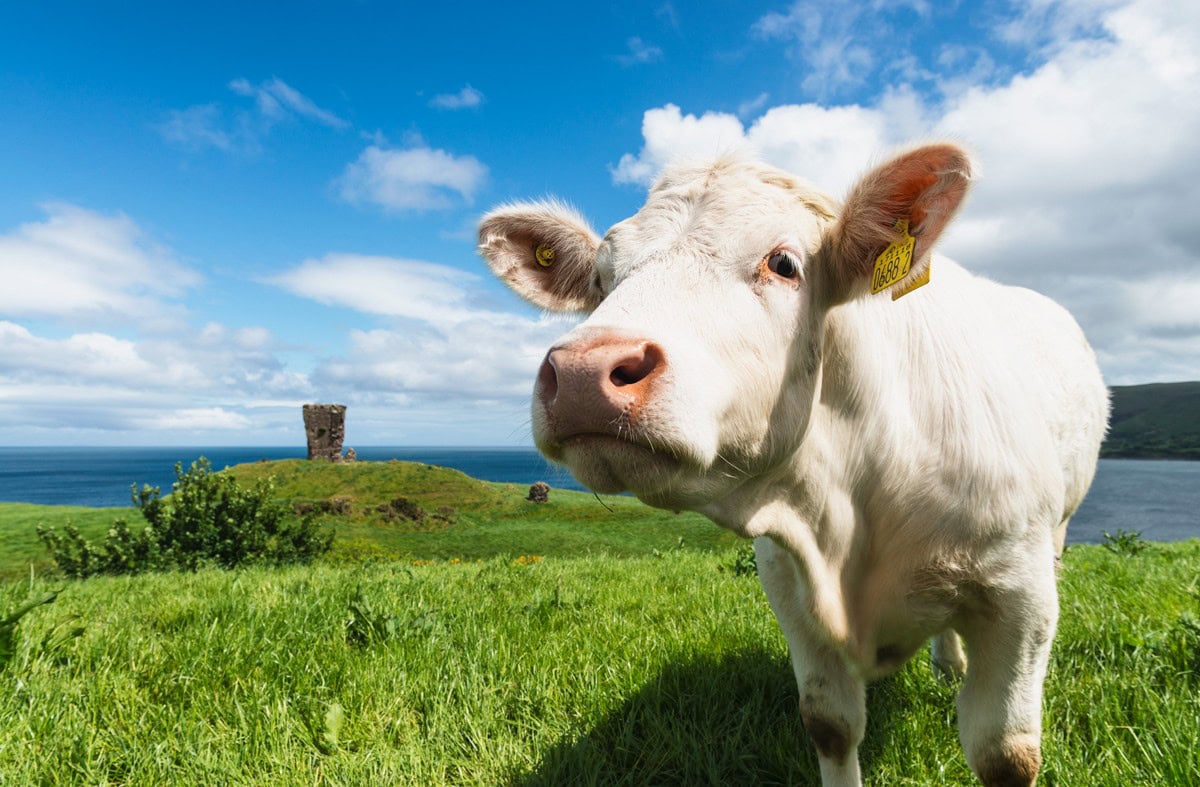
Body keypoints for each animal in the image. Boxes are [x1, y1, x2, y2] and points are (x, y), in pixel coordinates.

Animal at [477, 143, 1108, 787]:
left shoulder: (1020, 595)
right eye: (602, 279)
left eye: (783, 263)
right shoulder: (787, 581)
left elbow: (1005, 754)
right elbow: (830, 724)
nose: (582, 373)